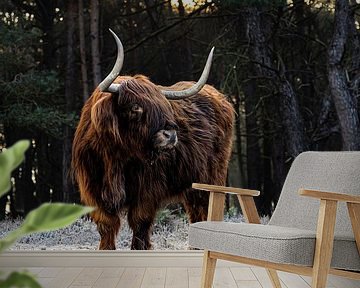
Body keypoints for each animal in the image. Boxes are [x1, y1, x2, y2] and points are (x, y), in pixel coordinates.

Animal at [71, 29, 235, 250]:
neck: (114, 156)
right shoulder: (93, 190)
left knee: (204, 208)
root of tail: (220, 97)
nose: (171, 135)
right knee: (196, 212)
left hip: (212, 175)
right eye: (135, 107)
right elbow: (106, 226)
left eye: (165, 106)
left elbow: (140, 223)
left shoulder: (147, 190)